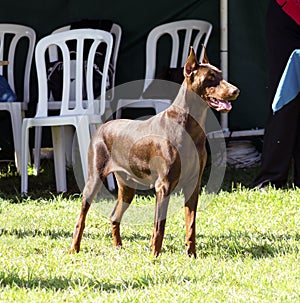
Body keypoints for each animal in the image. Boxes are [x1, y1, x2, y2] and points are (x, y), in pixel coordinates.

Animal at [69, 48, 239, 258]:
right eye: (210, 78)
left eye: (221, 75)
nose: (235, 91)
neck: (188, 125)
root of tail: (103, 126)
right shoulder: (163, 186)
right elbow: (159, 226)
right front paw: (154, 256)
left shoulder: (193, 184)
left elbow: (191, 224)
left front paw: (191, 255)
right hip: (94, 178)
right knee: (81, 217)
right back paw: (74, 248)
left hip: (127, 186)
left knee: (114, 215)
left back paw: (118, 247)